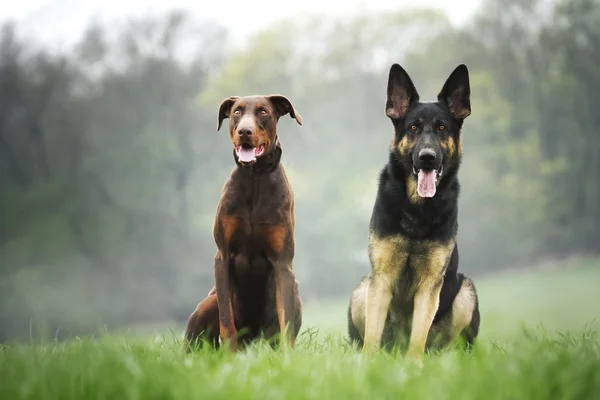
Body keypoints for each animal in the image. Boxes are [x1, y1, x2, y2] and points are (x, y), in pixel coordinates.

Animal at [184, 95, 304, 352]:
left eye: (263, 112)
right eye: (237, 111)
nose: (245, 131)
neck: (254, 178)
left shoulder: (282, 263)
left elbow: (286, 322)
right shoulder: (223, 256)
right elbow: (226, 320)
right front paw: (229, 355)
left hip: (294, 290)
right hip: (207, 303)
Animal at [346, 64, 478, 364]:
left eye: (442, 128)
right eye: (413, 128)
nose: (427, 157)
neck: (417, 208)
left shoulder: (430, 285)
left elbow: (419, 333)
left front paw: (414, 365)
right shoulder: (381, 279)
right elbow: (372, 334)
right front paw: (368, 364)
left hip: (466, 292)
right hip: (362, 290)